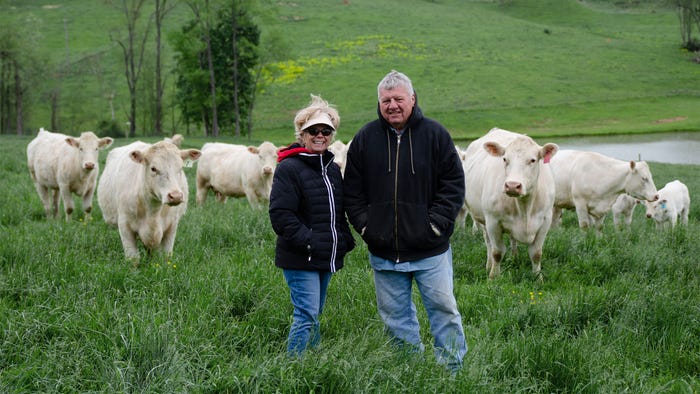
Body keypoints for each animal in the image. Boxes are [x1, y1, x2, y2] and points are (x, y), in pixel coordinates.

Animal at [462, 127, 560, 278]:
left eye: (533, 160)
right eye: (504, 159)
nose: (512, 185)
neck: (525, 207)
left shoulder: (545, 221)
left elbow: (536, 254)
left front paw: (538, 277)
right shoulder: (493, 221)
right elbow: (497, 252)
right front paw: (493, 277)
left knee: (513, 240)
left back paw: (514, 258)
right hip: (483, 219)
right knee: (488, 242)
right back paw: (488, 265)